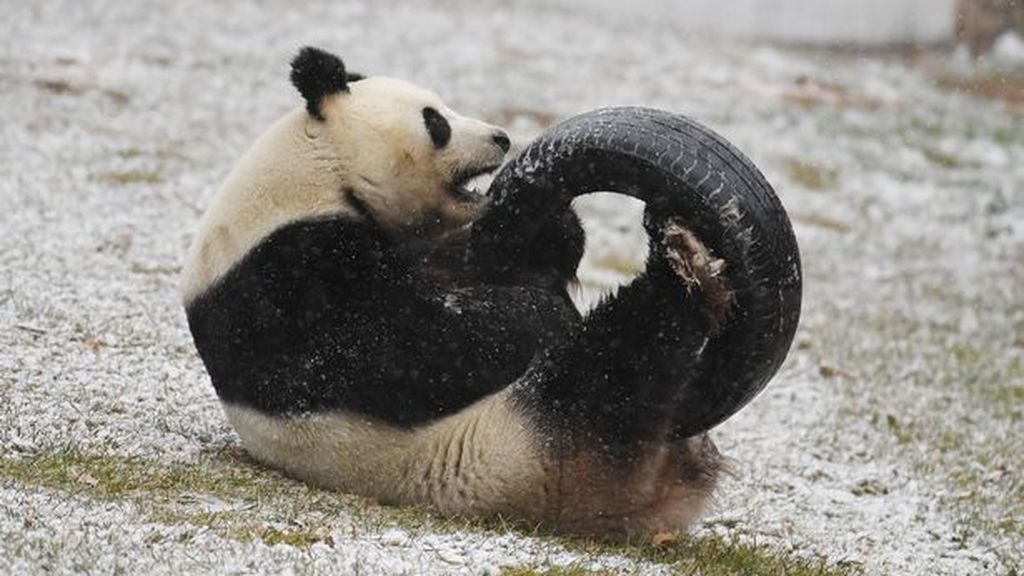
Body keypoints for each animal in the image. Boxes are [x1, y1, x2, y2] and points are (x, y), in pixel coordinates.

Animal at [186, 47, 806, 537]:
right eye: (435, 120)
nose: (503, 137)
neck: (317, 170)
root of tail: (657, 494)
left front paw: (552, 231)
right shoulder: (282, 279)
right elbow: (410, 347)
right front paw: (540, 310)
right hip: (534, 447)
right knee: (618, 359)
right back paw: (680, 266)